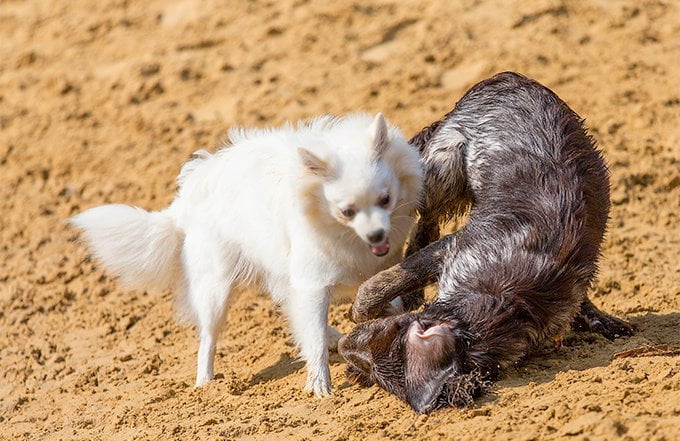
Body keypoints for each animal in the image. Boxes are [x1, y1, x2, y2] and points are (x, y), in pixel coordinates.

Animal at [69, 113, 420, 396]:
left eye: (385, 200)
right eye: (347, 212)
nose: (377, 236)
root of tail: (183, 203)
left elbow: (384, 300)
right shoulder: (312, 284)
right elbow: (315, 339)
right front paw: (320, 386)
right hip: (216, 292)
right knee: (208, 338)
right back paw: (205, 384)